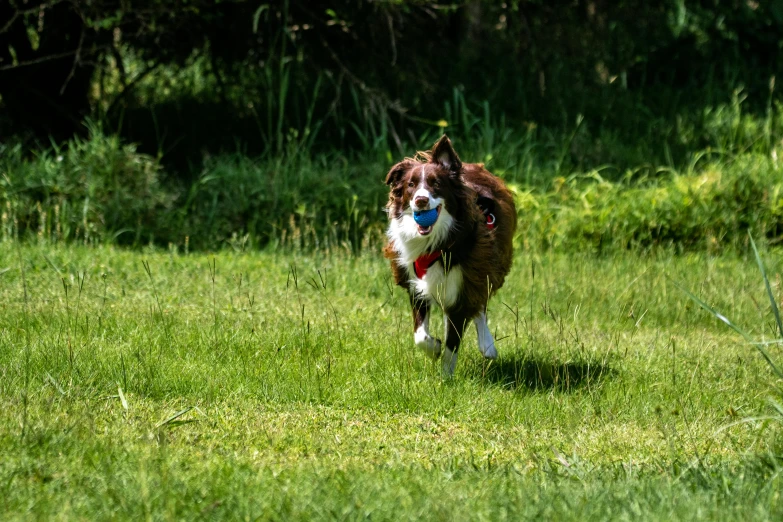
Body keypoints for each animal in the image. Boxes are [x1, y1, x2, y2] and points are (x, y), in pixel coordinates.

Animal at [384, 135, 516, 374]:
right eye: (411, 185)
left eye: (436, 183)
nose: (421, 200)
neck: (436, 243)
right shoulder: (417, 285)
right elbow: (420, 335)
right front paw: (434, 348)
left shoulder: (465, 282)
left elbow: (452, 342)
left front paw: (445, 378)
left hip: (486, 266)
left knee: (480, 305)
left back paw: (487, 346)